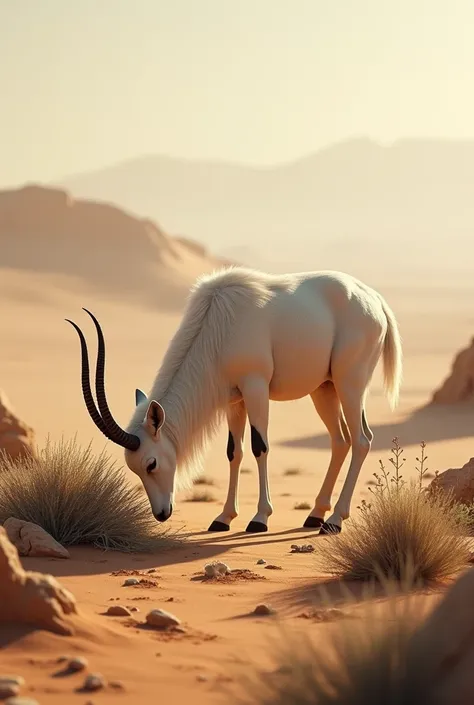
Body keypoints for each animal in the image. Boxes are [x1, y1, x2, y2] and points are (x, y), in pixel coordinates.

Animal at [65, 266, 400, 532]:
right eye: (134, 468)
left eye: (151, 463)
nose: (161, 514)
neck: (217, 324)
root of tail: (376, 300)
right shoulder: (234, 400)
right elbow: (233, 452)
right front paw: (223, 518)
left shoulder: (255, 386)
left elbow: (259, 447)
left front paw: (259, 518)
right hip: (324, 388)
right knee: (340, 440)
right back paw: (316, 515)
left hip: (349, 383)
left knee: (362, 439)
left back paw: (334, 521)